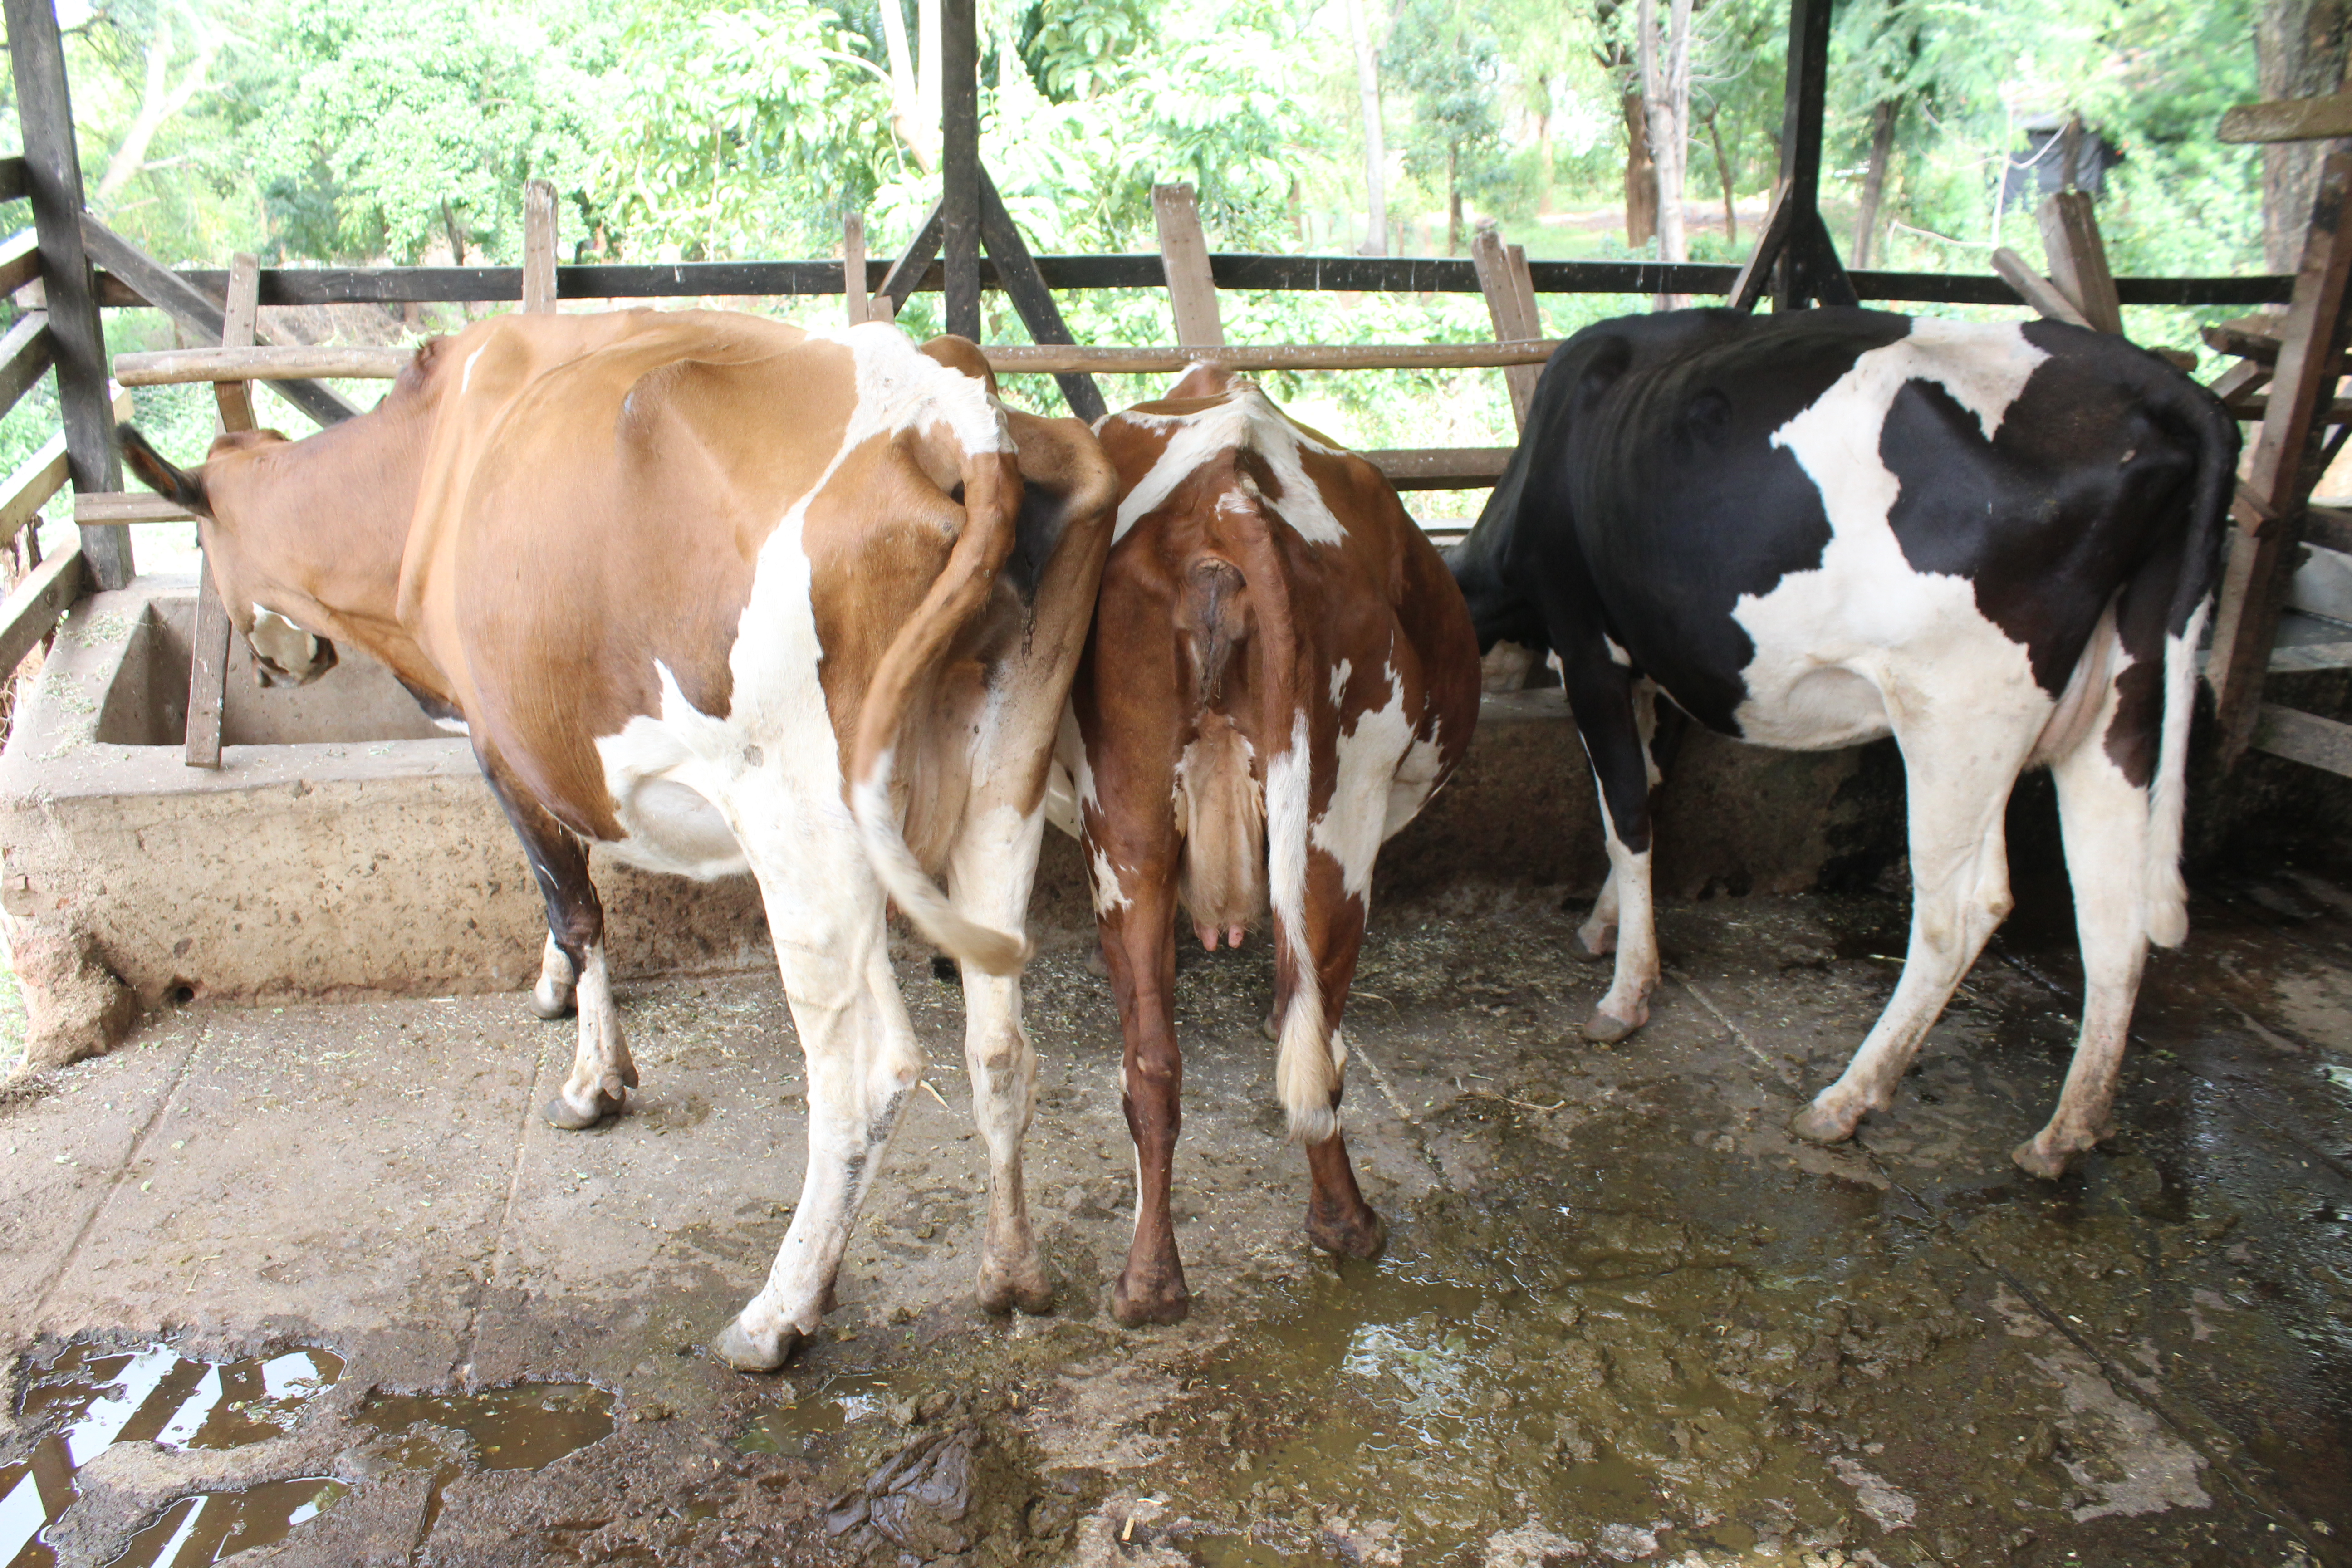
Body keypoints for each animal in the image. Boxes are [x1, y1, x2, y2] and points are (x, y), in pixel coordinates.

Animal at [119, 309, 1117, 1370]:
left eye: (202, 542)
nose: (279, 664)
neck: (427, 467)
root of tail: (949, 409)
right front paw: (553, 991)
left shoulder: (501, 742)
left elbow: (575, 903)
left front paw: (592, 1078)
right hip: (1002, 787)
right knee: (1000, 1048)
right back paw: (1012, 1272)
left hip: (801, 821)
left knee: (865, 1075)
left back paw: (778, 1310)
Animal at [1058, 366, 1481, 1325]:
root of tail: (1228, 493)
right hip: (1330, 816)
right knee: (1301, 1035)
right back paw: (1340, 1228)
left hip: (1132, 828)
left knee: (1159, 1059)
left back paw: (1152, 1285)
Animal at [1446, 308, 2237, 1179]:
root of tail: (2153, 383)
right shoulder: (1669, 659)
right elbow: (1654, 784)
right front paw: (1606, 925)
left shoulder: (1589, 644)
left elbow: (1625, 810)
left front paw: (1625, 992)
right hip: (2118, 707)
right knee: (2110, 914)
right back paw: (2064, 1133)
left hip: (1956, 710)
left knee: (1964, 908)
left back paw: (1847, 1098)